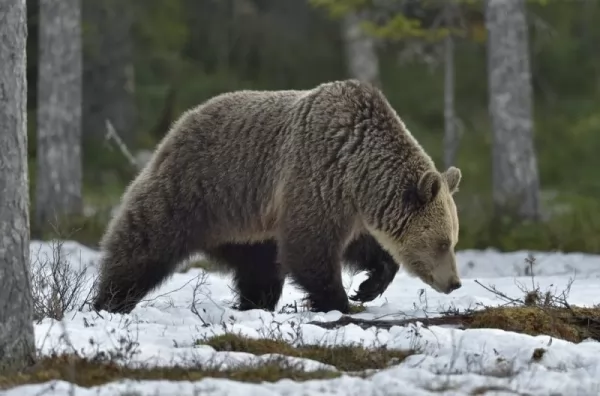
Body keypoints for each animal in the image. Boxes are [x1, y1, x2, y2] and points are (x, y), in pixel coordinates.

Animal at [90, 79, 464, 316]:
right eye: (443, 242)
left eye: (453, 239)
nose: (455, 282)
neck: (358, 172)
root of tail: (182, 120)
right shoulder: (315, 178)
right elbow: (309, 248)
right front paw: (338, 301)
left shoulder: (351, 207)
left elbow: (363, 248)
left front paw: (368, 285)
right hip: (200, 188)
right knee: (144, 241)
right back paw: (109, 301)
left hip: (248, 223)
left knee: (260, 271)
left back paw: (254, 304)